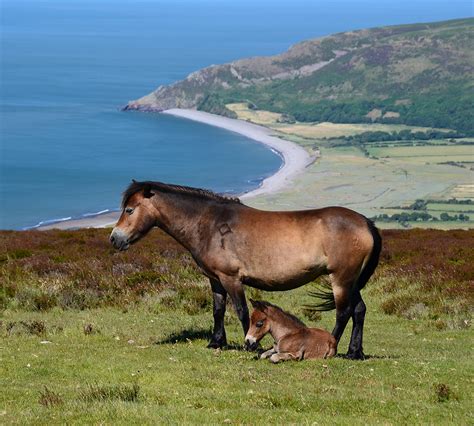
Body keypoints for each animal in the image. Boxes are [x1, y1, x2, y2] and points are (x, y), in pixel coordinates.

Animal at [109, 180, 380, 360]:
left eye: (129, 210)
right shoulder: (215, 280)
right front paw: (216, 342)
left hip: (341, 279)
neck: (209, 223)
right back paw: (354, 352)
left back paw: (333, 347)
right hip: (351, 281)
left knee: (344, 313)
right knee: (359, 310)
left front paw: (251, 346)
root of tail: (365, 222)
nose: (114, 239)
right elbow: (218, 310)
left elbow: (241, 311)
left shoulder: (231, 279)